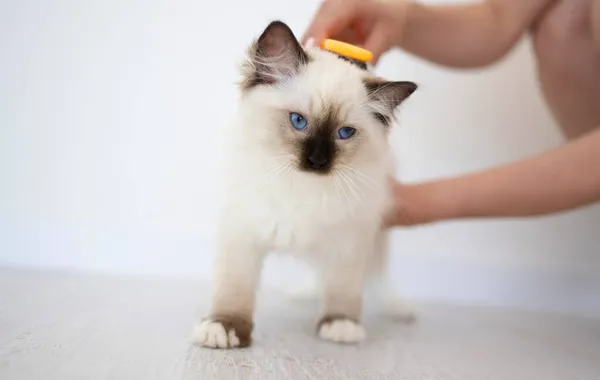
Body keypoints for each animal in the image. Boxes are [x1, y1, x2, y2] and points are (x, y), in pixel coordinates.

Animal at [193, 20, 418, 348]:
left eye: (345, 133)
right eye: (298, 121)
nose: (318, 161)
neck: (300, 188)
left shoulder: (348, 245)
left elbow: (343, 290)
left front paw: (341, 325)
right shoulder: (242, 237)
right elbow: (233, 292)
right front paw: (223, 328)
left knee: (376, 275)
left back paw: (399, 309)